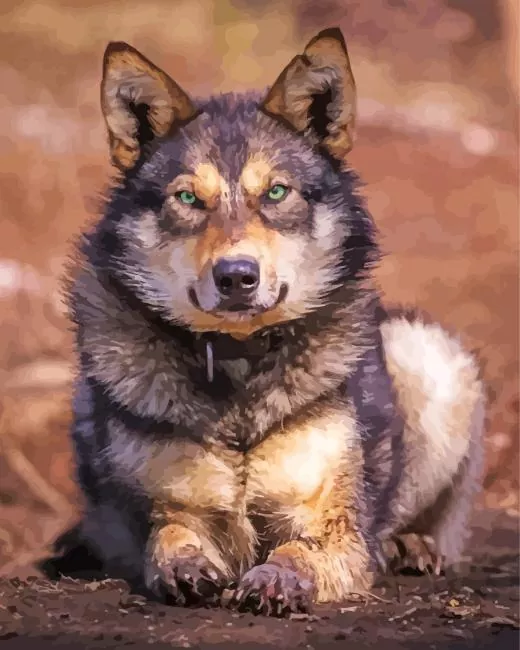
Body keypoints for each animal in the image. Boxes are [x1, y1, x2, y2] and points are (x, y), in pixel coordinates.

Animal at [65, 28, 485, 616]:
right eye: (188, 198)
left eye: (277, 192)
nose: (236, 275)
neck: (239, 366)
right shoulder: (167, 507)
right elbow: (167, 535)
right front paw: (185, 566)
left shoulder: (334, 522)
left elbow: (302, 550)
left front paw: (278, 577)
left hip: (428, 357)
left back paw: (409, 545)